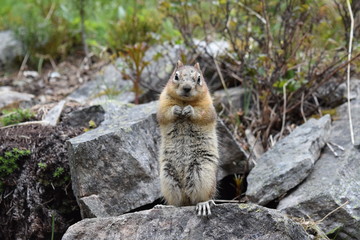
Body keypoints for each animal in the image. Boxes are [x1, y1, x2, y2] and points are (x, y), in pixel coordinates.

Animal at [156, 60, 218, 216]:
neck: (184, 101)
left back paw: (203, 204)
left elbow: (204, 113)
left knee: (202, 198)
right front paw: (176, 110)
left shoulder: (208, 104)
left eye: (199, 79)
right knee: (178, 203)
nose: (187, 88)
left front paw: (189, 110)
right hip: (167, 178)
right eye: (176, 76)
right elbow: (163, 113)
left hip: (202, 173)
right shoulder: (163, 101)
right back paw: (165, 207)